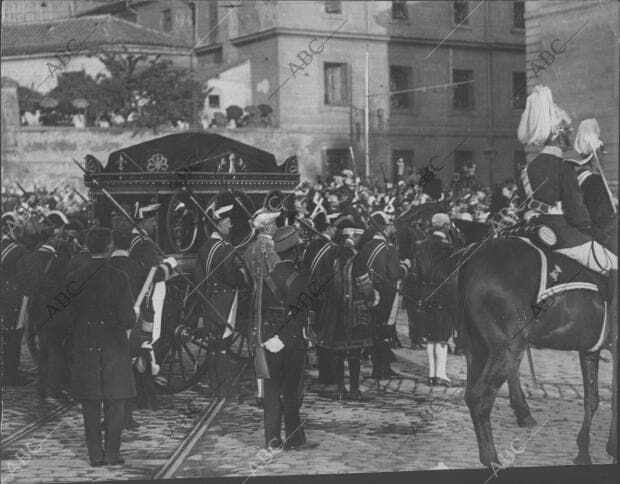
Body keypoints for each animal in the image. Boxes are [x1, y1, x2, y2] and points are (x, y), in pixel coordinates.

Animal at [456, 236, 616, 466]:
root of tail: (476, 261)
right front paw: (612, 449)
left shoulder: (589, 351)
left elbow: (592, 399)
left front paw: (584, 452)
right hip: (506, 349)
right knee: (479, 396)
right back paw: (491, 457)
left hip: (476, 349)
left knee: (472, 392)